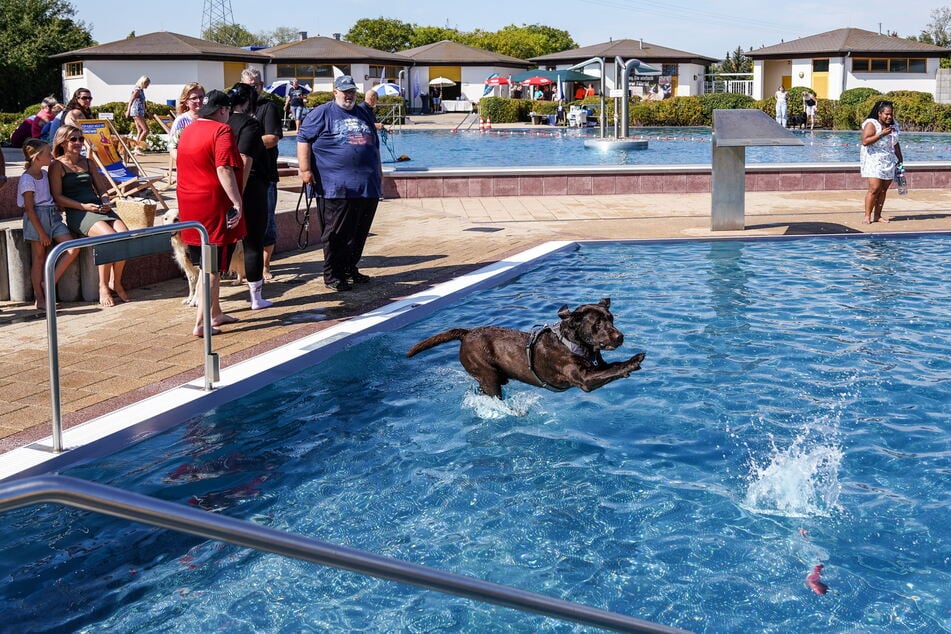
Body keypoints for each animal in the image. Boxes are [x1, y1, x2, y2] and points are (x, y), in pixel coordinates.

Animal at [410, 298, 648, 398]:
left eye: (611, 319)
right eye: (597, 324)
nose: (620, 336)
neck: (571, 342)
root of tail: (466, 333)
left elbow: (611, 365)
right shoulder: (585, 379)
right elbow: (614, 367)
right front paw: (634, 361)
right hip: (487, 376)